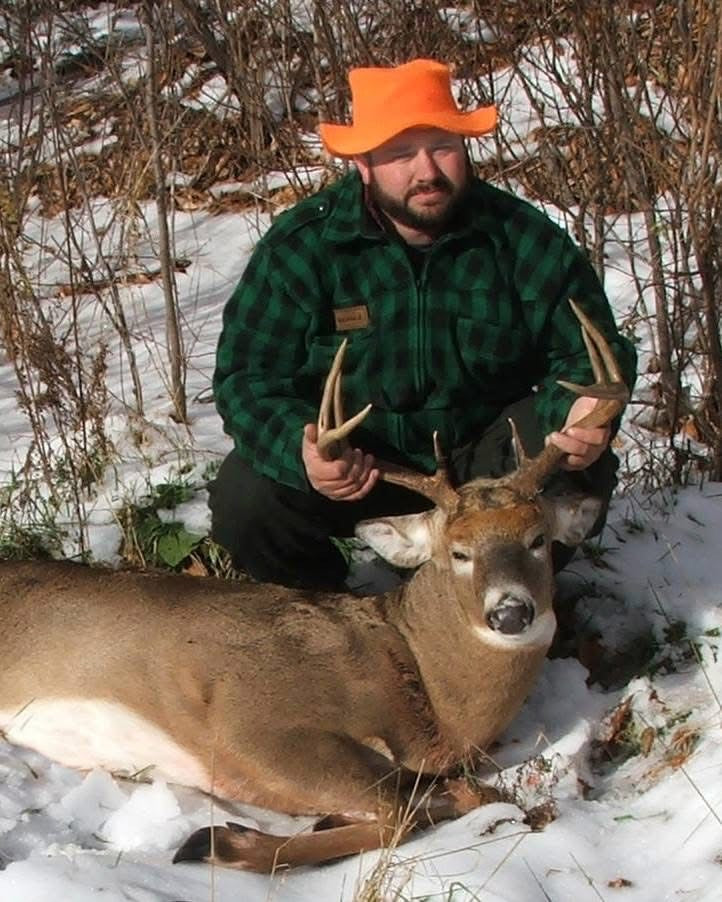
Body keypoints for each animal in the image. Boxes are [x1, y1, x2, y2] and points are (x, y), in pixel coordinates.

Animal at [0, 300, 628, 873]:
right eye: (459, 552)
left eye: (538, 539)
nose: (511, 612)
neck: (424, 686)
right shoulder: (252, 724)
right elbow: (399, 812)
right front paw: (221, 841)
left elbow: (451, 796)